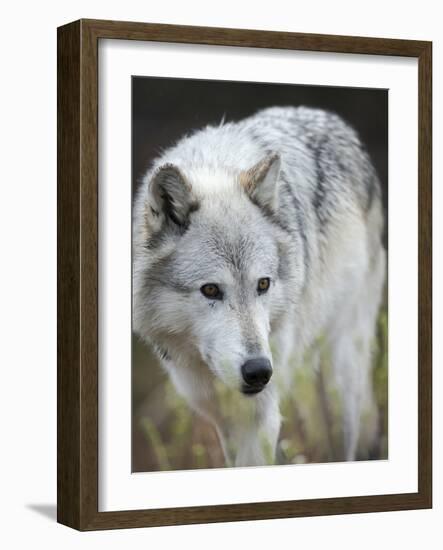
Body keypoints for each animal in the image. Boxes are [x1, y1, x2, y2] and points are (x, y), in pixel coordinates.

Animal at [134, 106, 386, 470]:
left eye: (263, 284)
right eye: (211, 290)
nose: (258, 372)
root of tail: (331, 118)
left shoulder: (260, 415)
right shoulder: (222, 417)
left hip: (340, 383)